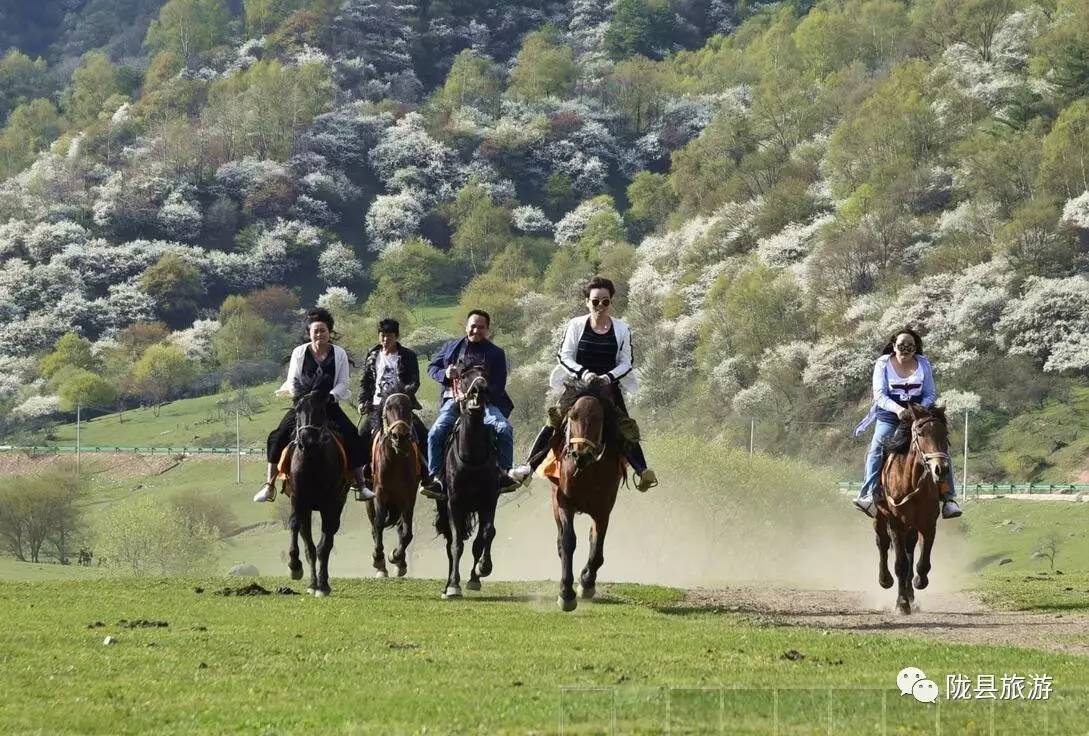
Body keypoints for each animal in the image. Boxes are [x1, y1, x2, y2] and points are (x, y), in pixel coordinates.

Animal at [287, 368, 346, 596]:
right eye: (298, 408)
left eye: (322, 409)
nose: (308, 441)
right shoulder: (299, 501)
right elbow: (304, 540)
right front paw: (297, 569)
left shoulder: (331, 505)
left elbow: (323, 546)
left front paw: (322, 585)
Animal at [363, 391, 418, 579]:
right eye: (388, 408)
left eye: (409, 407)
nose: (399, 436)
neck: (396, 458)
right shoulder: (380, 493)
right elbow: (378, 524)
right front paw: (379, 560)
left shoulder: (409, 496)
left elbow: (407, 532)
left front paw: (396, 557)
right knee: (374, 526)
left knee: (401, 528)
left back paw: (400, 564)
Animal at [435, 361, 498, 596]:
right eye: (462, 376)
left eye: (485, 374)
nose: (480, 389)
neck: (471, 457)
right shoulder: (455, 503)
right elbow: (456, 545)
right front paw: (453, 585)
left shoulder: (489, 501)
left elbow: (485, 536)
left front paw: (480, 571)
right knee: (450, 542)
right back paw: (448, 584)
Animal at [548, 378, 627, 609]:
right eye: (573, 415)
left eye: (599, 418)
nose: (580, 454)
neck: (587, 470)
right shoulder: (564, 502)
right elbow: (568, 541)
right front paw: (566, 592)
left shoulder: (604, 509)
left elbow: (597, 546)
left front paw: (586, 582)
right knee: (561, 539)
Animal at [871, 402, 949, 614]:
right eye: (920, 434)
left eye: (945, 433)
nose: (941, 469)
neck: (911, 480)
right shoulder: (895, 523)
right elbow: (900, 564)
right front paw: (902, 604)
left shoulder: (928, 524)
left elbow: (922, 563)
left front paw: (918, 582)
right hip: (880, 517)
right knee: (882, 543)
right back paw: (885, 580)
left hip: (912, 526)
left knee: (910, 549)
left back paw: (911, 594)